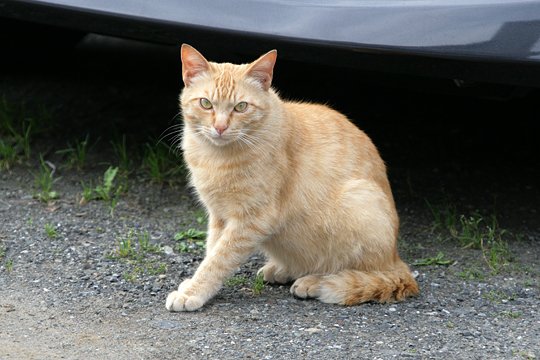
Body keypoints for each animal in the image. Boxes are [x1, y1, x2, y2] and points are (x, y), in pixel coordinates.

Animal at [167, 43, 420, 310]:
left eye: (241, 107)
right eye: (206, 104)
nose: (220, 127)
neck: (216, 157)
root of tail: (395, 258)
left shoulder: (252, 219)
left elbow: (219, 259)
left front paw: (194, 291)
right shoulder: (219, 215)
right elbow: (212, 249)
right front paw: (197, 285)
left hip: (359, 201)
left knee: (360, 271)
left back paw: (314, 282)